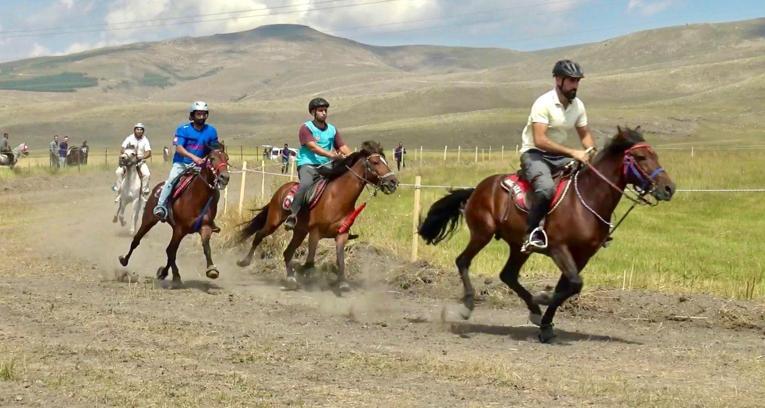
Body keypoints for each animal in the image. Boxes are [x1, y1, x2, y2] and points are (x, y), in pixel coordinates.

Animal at [116, 147, 230, 286]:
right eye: (212, 158)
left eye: (227, 158)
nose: (224, 177)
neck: (197, 197)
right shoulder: (179, 229)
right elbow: (171, 251)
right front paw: (175, 276)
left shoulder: (205, 227)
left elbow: (206, 247)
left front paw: (212, 269)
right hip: (149, 220)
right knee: (137, 241)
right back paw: (124, 260)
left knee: (169, 251)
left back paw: (164, 273)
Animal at [236, 142, 396, 292]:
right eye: (375, 162)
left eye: (386, 161)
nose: (393, 182)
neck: (337, 198)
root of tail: (282, 189)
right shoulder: (315, 232)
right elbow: (310, 261)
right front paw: (302, 269)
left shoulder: (342, 234)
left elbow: (340, 260)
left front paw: (342, 283)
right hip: (274, 222)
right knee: (259, 235)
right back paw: (244, 262)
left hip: (300, 232)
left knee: (287, 252)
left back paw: (291, 279)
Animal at [418, 126, 676, 342]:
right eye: (641, 157)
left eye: (655, 155)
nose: (669, 188)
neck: (586, 198)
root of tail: (478, 189)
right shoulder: (558, 248)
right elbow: (573, 284)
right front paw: (541, 298)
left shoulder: (582, 255)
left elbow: (568, 286)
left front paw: (545, 324)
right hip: (483, 233)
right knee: (463, 261)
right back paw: (468, 306)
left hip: (519, 246)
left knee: (508, 275)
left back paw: (533, 311)